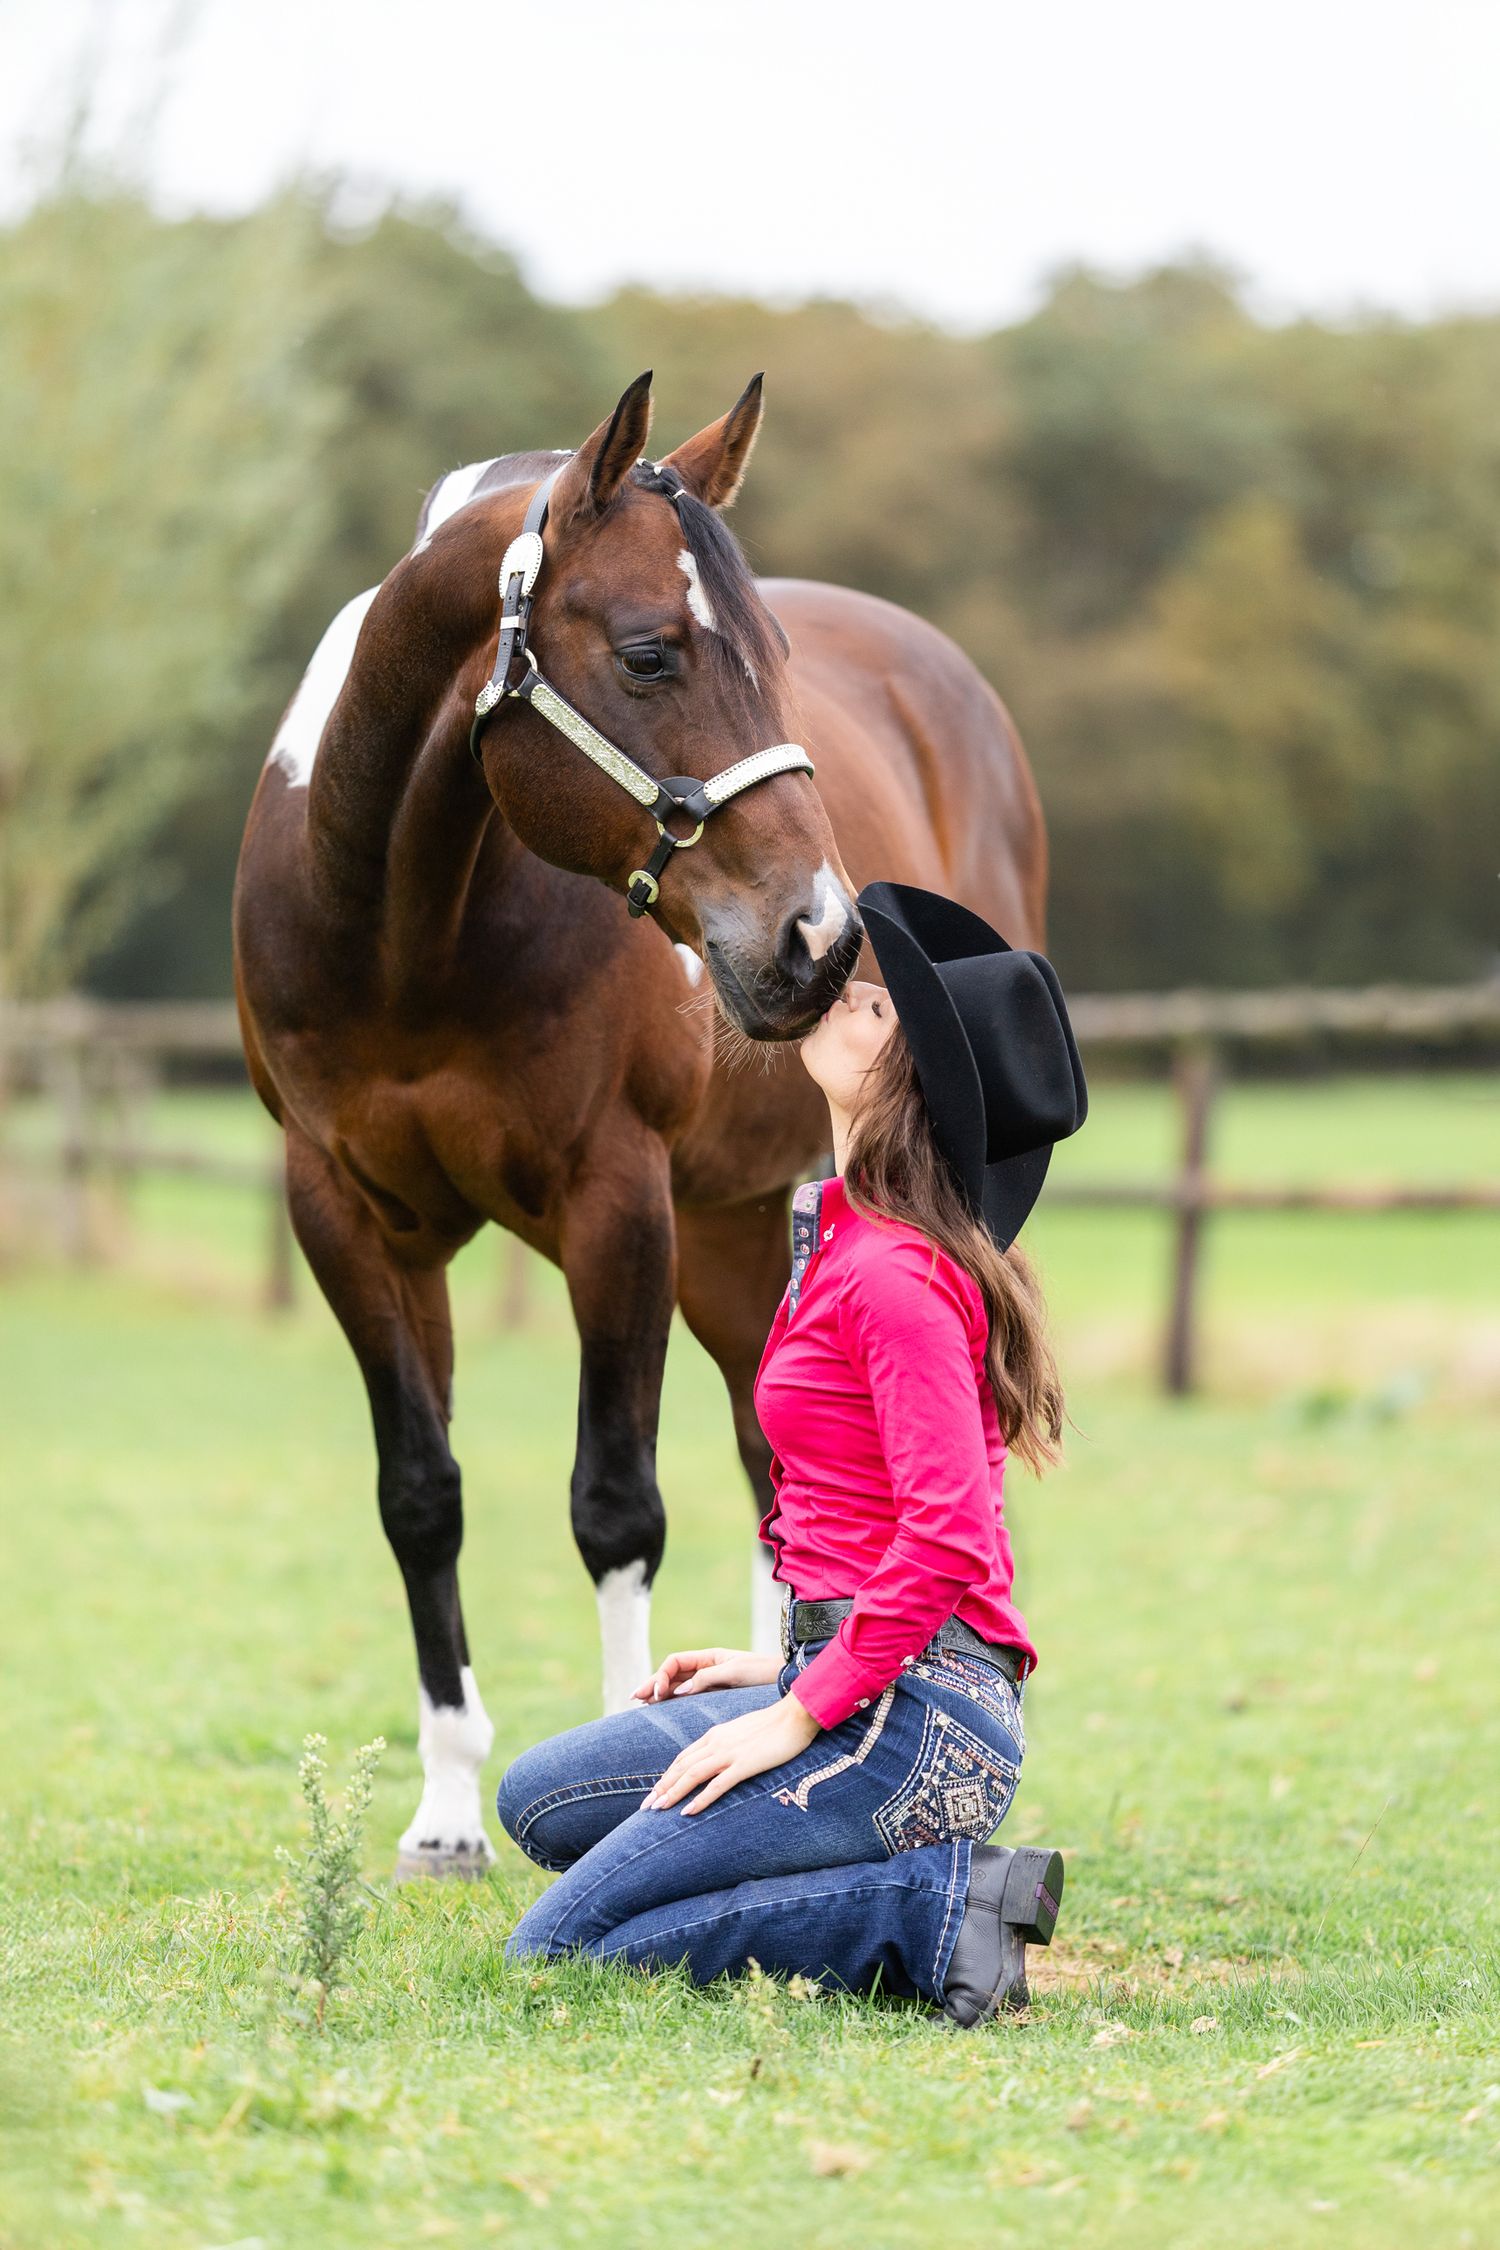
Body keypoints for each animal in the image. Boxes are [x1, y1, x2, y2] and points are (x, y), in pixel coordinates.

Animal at [233, 372, 1048, 1876]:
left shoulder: (618, 1203)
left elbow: (615, 1504)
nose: (821, 940)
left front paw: (624, 1758)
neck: (405, 934)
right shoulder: (349, 1214)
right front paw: (447, 1815)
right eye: (652, 654)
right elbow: (420, 1494)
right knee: (777, 1464)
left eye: (774, 657)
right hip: (732, 1229)